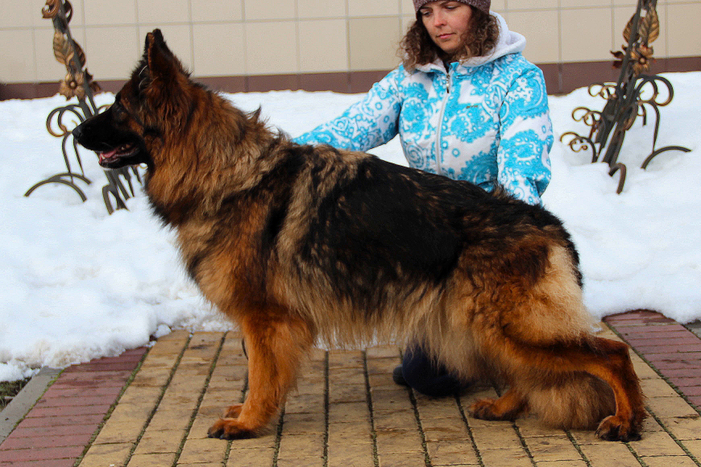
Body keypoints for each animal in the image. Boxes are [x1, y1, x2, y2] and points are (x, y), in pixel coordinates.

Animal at [72, 30, 644, 442]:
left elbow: (262, 375)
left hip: (506, 327)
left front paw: (250, 422)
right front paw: (248, 413)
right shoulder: (264, 321)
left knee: (612, 355)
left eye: (118, 109)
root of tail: (545, 221)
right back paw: (505, 407)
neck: (226, 173)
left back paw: (625, 421)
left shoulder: (265, 319)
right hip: (480, 326)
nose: (75, 132)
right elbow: (258, 372)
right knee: (529, 371)